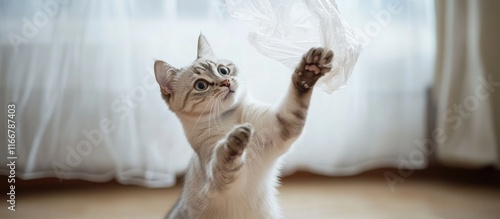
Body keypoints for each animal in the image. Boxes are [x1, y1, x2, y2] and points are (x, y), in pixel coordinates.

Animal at [154, 33, 334, 218]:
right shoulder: (216, 180)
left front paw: (309, 71)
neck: (231, 118)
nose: (226, 82)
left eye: (223, 70)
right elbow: (224, 159)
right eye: (201, 85)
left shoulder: (281, 125)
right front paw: (235, 140)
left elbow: (296, 95)